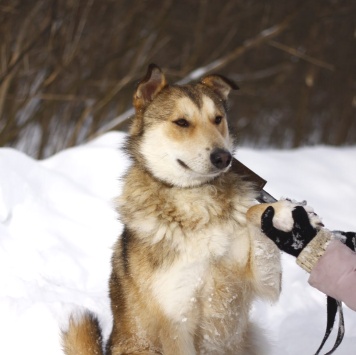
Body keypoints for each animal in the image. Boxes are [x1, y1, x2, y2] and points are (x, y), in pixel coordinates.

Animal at [62, 64, 312, 355]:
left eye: (217, 119)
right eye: (181, 122)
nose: (224, 157)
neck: (198, 202)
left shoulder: (262, 283)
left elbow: (254, 216)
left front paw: (282, 214)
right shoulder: (175, 320)